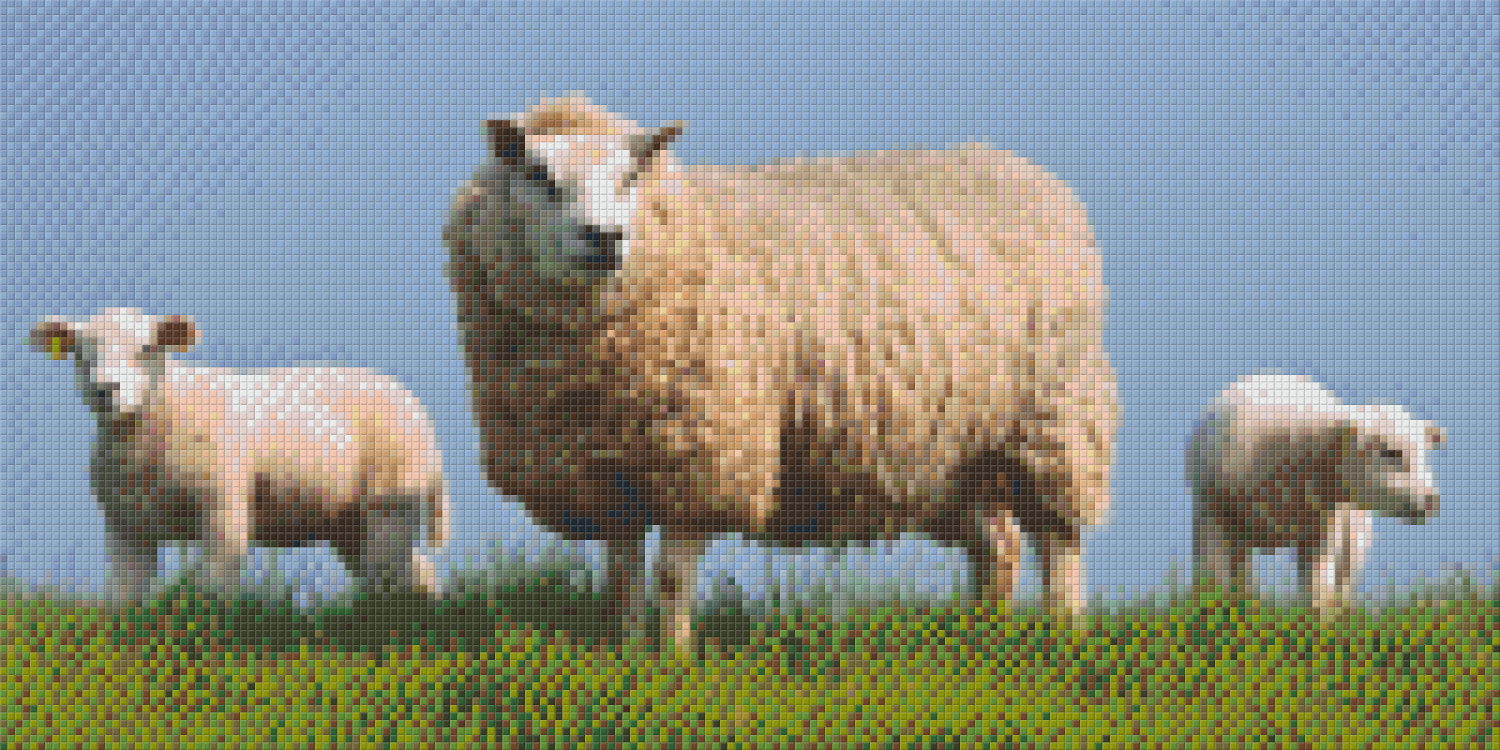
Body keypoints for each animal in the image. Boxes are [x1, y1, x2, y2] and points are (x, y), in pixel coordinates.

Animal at [29, 308, 449, 605]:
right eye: (80, 353)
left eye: (147, 349)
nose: (106, 389)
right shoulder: (125, 523)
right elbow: (125, 595)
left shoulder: (223, 507)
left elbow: (214, 586)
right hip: (350, 523)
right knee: (410, 574)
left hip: (391, 500)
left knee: (393, 571)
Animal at [443, 95, 1117, 648]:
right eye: (538, 175)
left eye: (632, 175)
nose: (604, 238)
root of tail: (1024, 170)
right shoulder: (607, 471)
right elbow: (622, 575)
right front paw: (623, 651)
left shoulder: (710, 452)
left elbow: (671, 574)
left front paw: (674, 659)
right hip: (949, 453)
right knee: (997, 544)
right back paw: (984, 634)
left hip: (1054, 416)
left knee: (1059, 541)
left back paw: (1062, 634)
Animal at [1187, 371, 1447, 611]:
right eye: (1390, 452)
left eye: (1425, 453)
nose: (1433, 499)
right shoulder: (1209, 512)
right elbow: (1212, 577)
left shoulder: (1325, 527)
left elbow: (1318, 589)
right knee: (1241, 577)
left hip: (1353, 539)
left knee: (1342, 584)